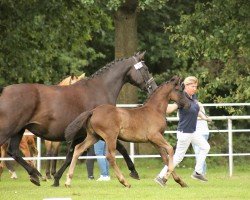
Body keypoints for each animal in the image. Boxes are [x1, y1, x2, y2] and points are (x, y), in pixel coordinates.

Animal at [0, 51, 157, 186]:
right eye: (145, 69)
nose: (153, 88)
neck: (99, 90)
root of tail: (4, 91)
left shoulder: (81, 134)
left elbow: (70, 156)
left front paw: (57, 179)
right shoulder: (105, 133)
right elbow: (122, 148)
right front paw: (134, 171)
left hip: (19, 131)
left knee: (13, 152)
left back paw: (34, 175)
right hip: (8, 130)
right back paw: (34, 174)